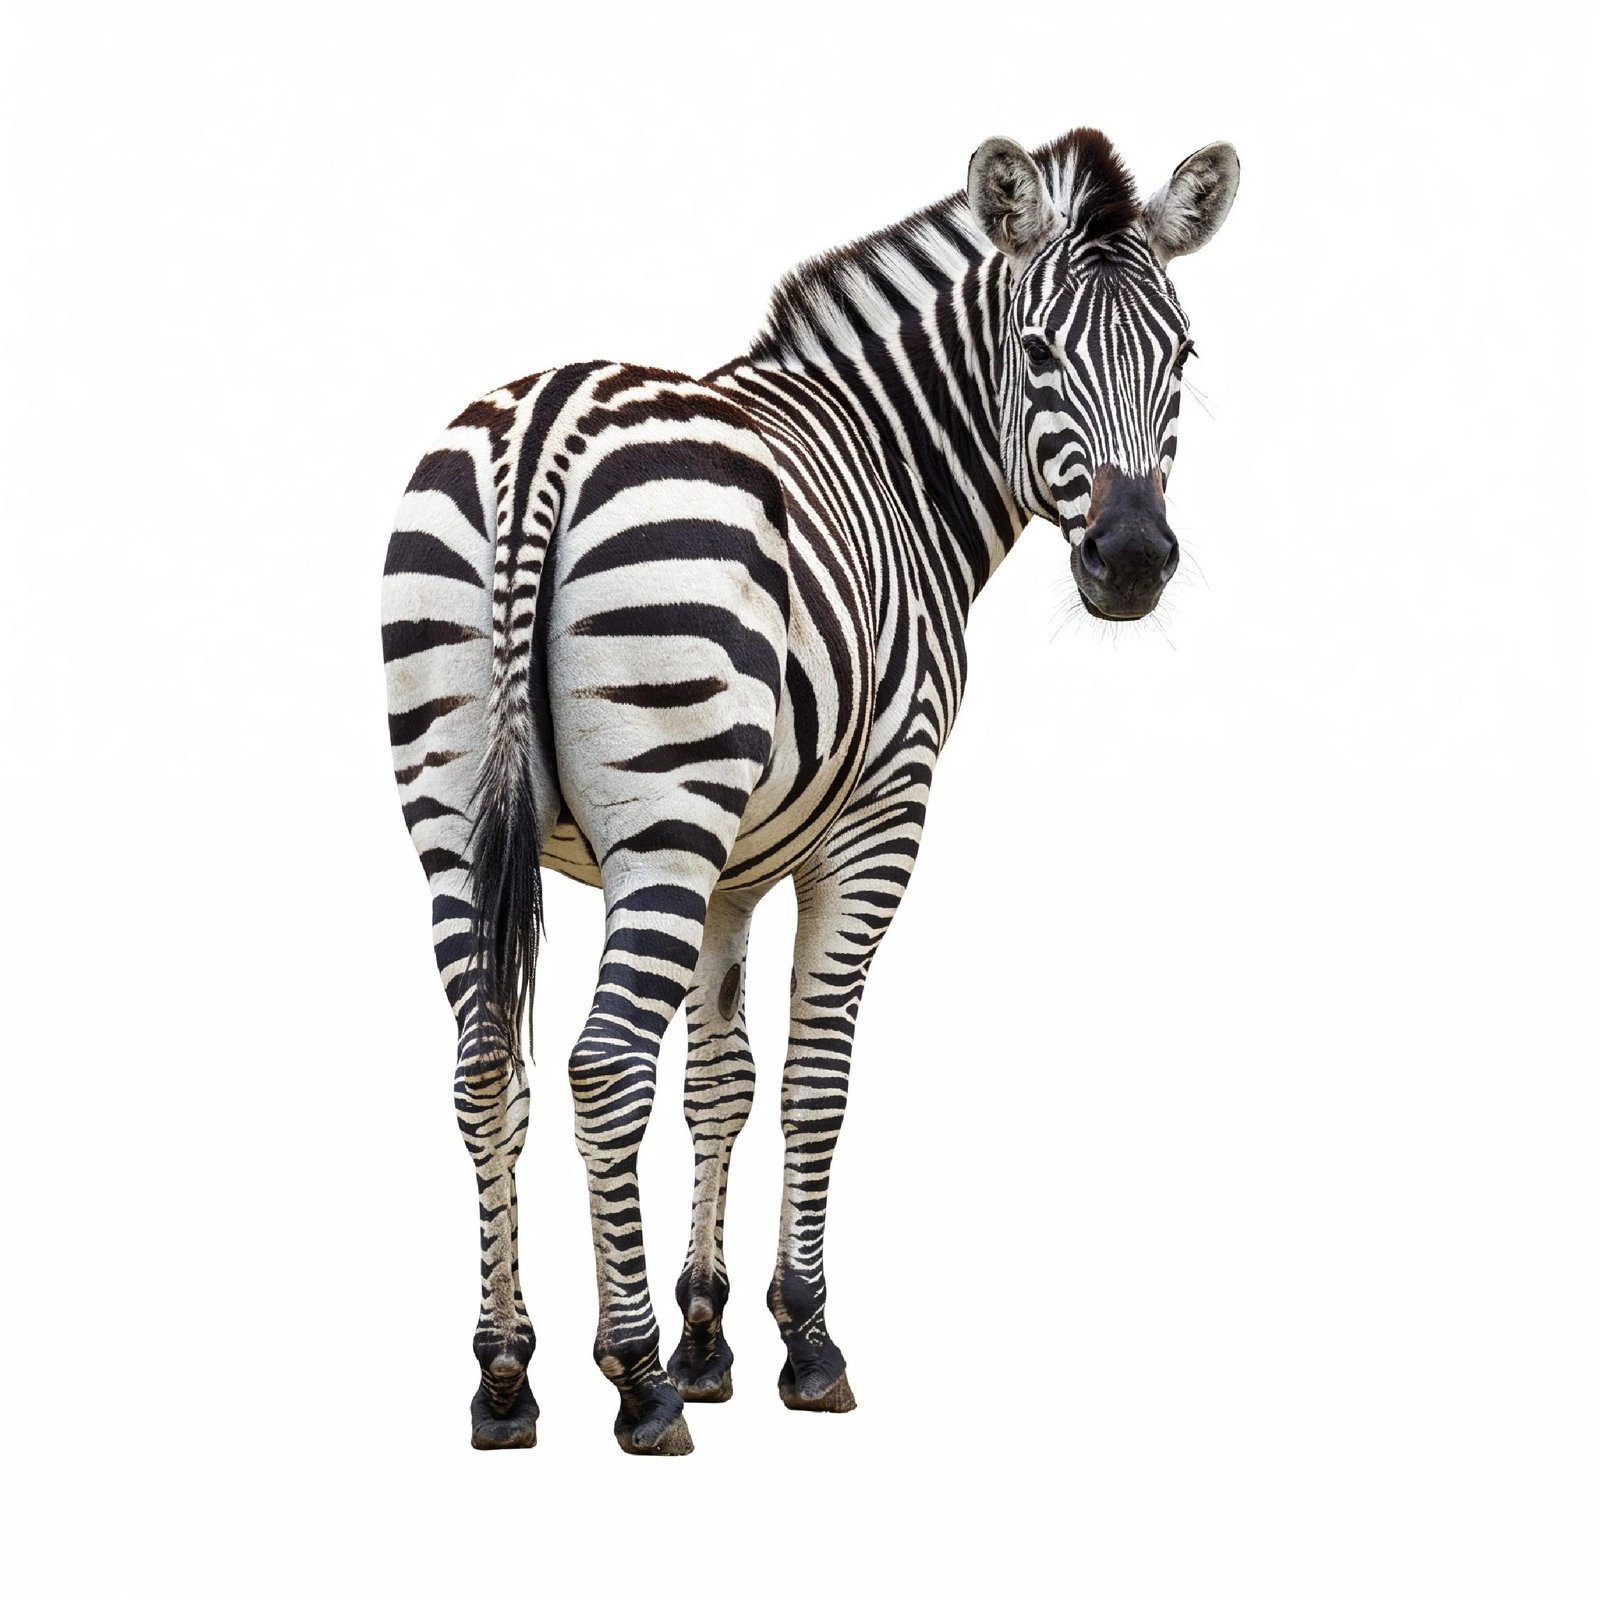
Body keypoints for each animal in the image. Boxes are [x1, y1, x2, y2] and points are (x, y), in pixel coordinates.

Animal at [382, 126, 1238, 1454]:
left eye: (1183, 357)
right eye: (1037, 351)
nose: (1134, 563)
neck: (895, 459)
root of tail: (545, 429)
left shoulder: (734, 867)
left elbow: (721, 1083)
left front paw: (709, 1334)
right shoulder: (876, 819)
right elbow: (813, 1081)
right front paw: (800, 1340)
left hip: (452, 815)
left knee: (488, 1069)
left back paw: (506, 1374)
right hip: (664, 818)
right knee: (602, 1066)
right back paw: (633, 1381)